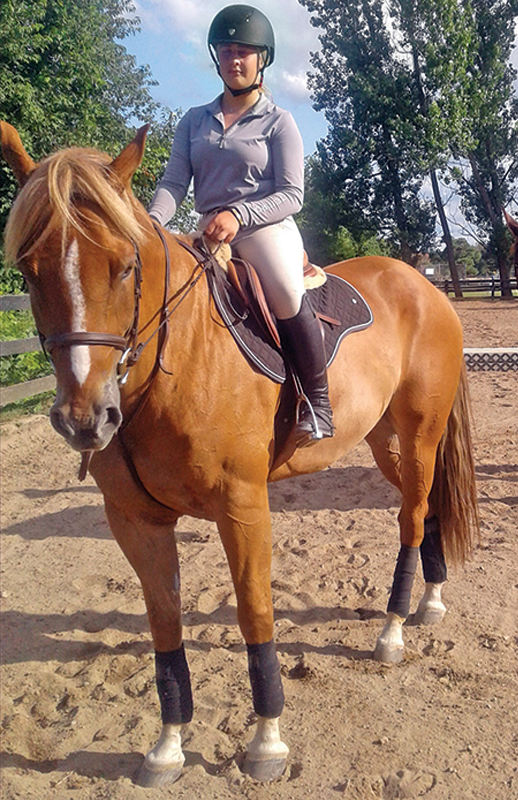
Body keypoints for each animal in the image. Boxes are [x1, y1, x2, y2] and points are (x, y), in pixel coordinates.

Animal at [1, 121, 479, 787]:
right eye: (28, 268)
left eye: (126, 267)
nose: (85, 419)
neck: (174, 366)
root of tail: (423, 284)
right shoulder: (135, 522)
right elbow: (164, 625)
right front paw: (167, 747)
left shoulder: (243, 508)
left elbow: (255, 615)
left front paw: (266, 742)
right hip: (392, 445)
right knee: (427, 508)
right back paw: (428, 603)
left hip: (418, 435)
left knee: (410, 521)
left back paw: (392, 630)